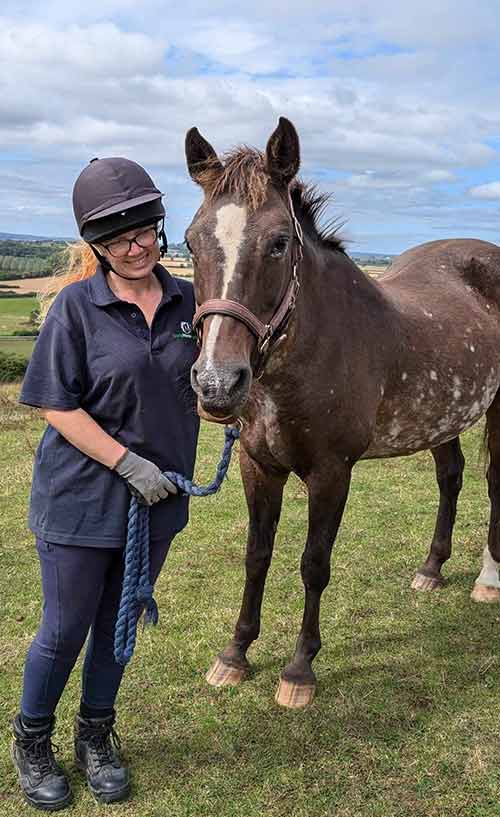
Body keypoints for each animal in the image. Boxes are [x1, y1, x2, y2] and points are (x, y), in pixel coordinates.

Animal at [184, 116, 500, 708]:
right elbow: (257, 554)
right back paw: (432, 568)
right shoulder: (257, 467)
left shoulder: (332, 474)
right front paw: (235, 655)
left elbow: (313, 564)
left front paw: (299, 670)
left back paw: (488, 578)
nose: (216, 383)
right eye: (191, 241)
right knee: (451, 477)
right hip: (443, 414)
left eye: (279, 243)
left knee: (493, 480)